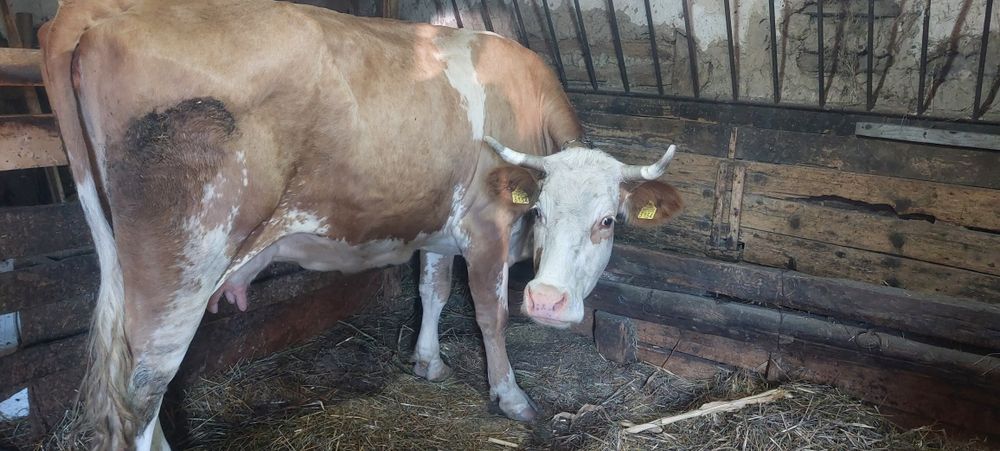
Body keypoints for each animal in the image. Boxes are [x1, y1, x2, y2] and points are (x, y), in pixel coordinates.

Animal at [40, 0, 683, 449]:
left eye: (606, 220)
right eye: (540, 212)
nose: (548, 302)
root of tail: (96, 9)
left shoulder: (439, 226)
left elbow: (432, 289)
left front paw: (427, 362)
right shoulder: (487, 226)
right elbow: (490, 315)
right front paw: (511, 397)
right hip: (179, 270)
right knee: (140, 392)